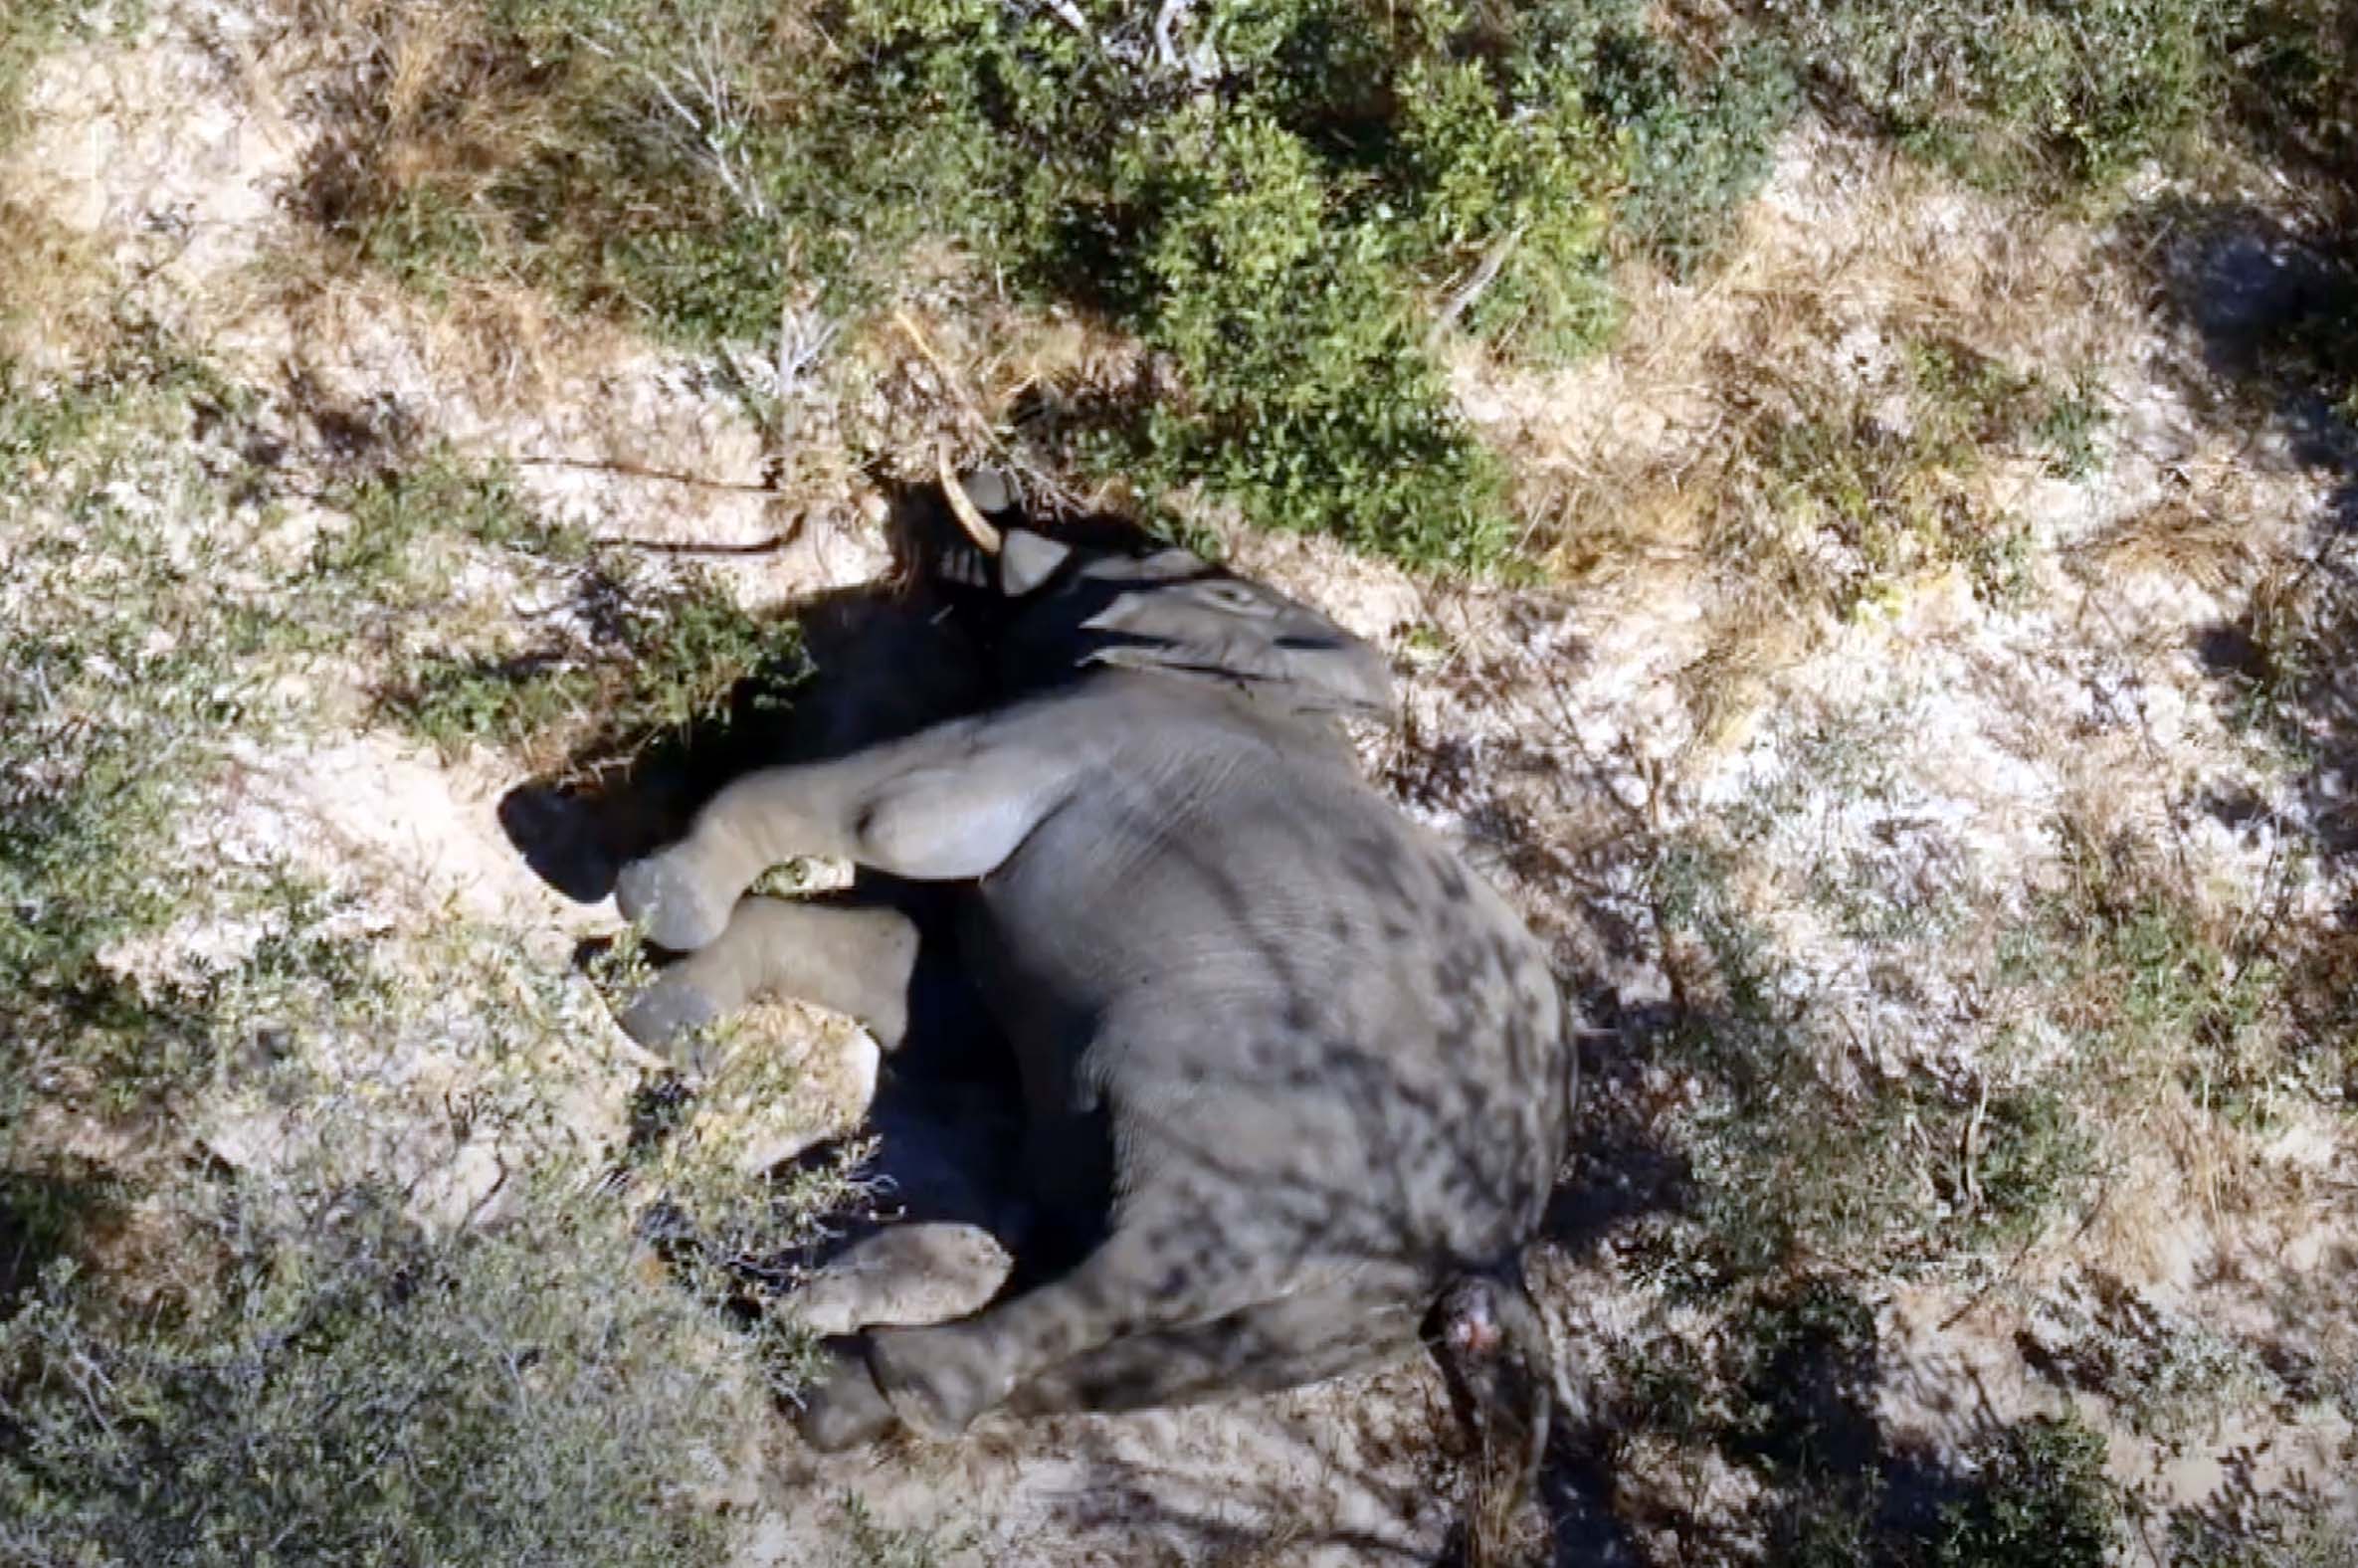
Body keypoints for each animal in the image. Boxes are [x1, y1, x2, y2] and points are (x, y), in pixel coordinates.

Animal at [613, 486, 1584, 1443]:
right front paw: (657, 1020)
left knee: (1139, 1267)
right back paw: (833, 1399)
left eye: (1144, 550)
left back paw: (908, 1380)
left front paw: (655, 899)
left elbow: (891, 815)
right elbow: (916, 980)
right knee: (1124, 1359)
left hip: (1277, 1171)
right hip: (1331, 1320)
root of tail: (1496, 1264)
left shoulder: (1089, 728)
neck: (1281, 680)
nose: (988, 489)